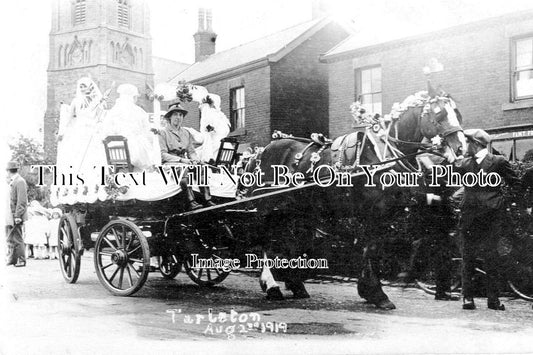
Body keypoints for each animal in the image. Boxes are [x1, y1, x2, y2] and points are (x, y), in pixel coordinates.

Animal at [249, 85, 466, 308]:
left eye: (457, 113)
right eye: (439, 114)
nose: (461, 147)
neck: (381, 154)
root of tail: (262, 151)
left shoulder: (387, 211)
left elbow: (375, 247)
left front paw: (370, 290)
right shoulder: (372, 210)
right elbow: (369, 247)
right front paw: (377, 293)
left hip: (295, 209)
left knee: (289, 241)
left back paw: (296, 285)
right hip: (268, 205)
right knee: (265, 240)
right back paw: (272, 286)